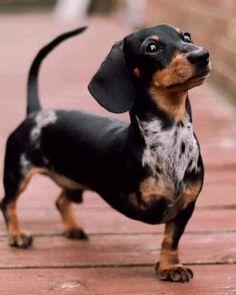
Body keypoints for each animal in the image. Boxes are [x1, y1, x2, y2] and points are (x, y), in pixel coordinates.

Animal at [0, 24, 210, 284]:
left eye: (186, 37)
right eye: (151, 47)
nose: (202, 55)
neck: (171, 134)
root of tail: (37, 113)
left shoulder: (186, 205)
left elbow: (171, 238)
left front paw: (171, 265)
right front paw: (169, 266)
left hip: (75, 181)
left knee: (61, 200)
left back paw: (72, 228)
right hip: (17, 174)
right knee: (8, 203)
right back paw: (17, 234)